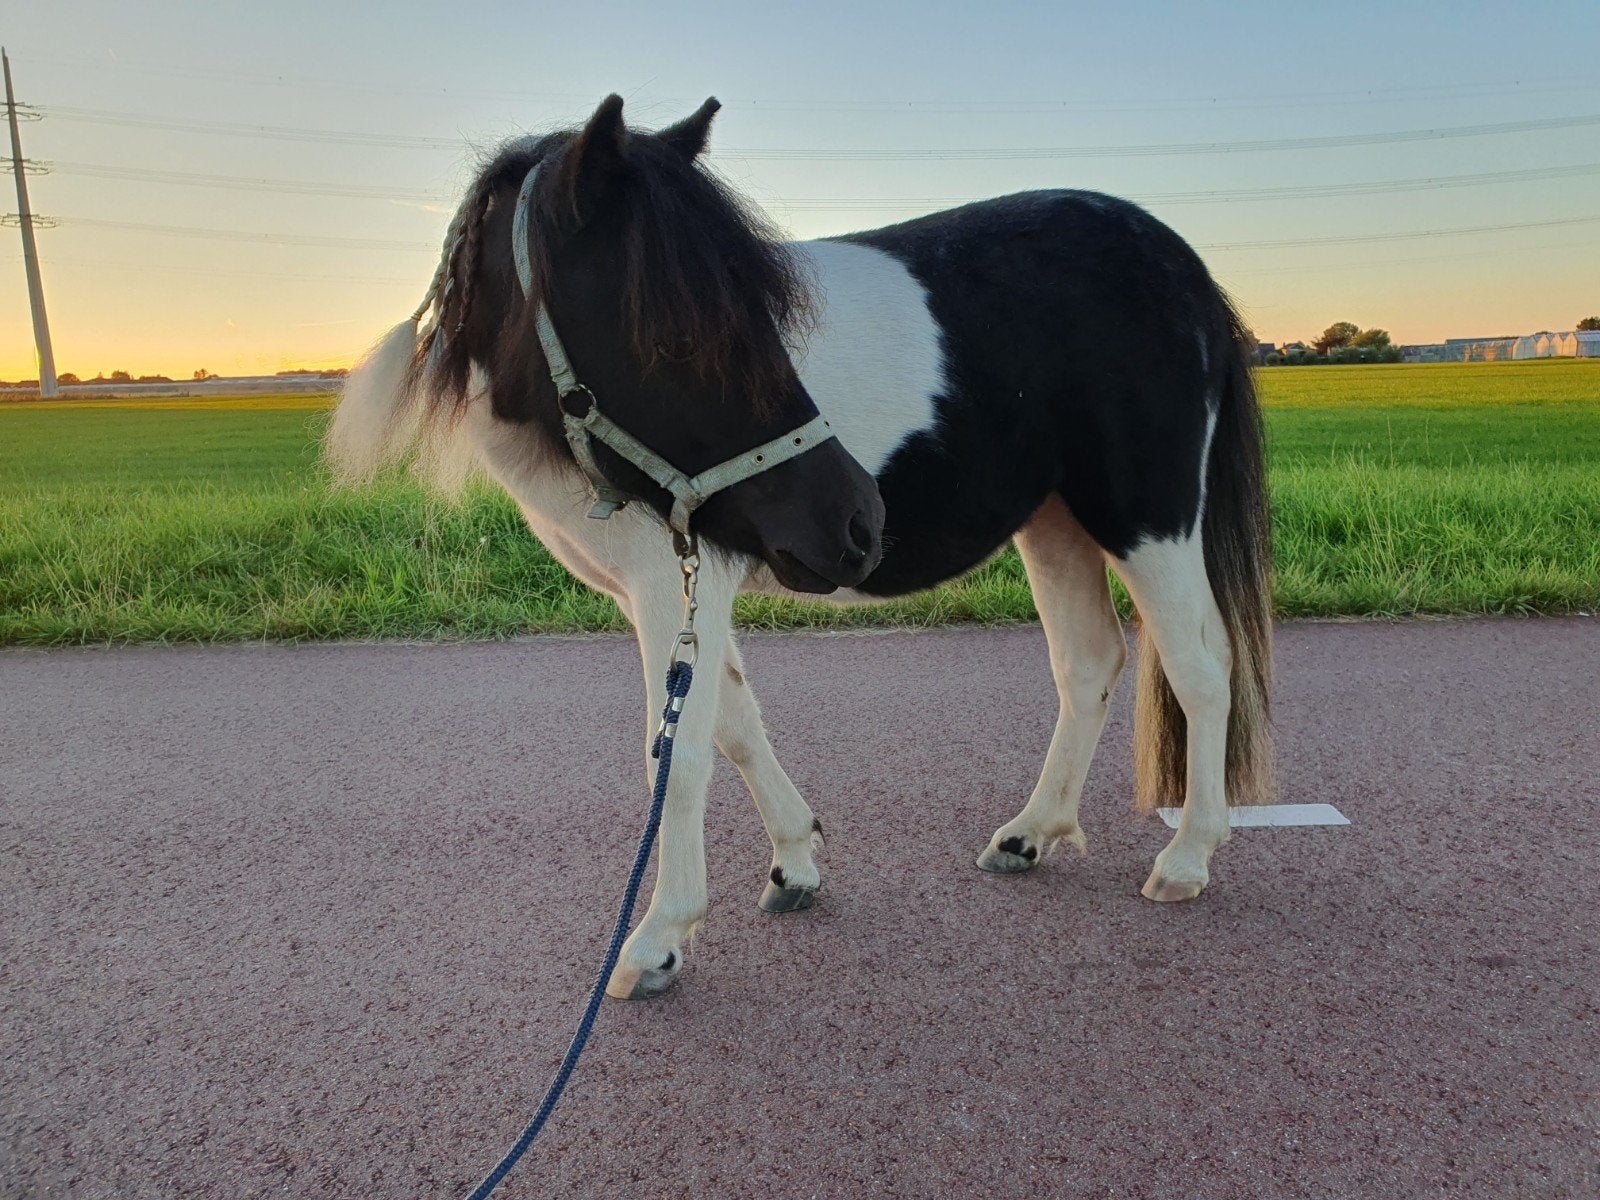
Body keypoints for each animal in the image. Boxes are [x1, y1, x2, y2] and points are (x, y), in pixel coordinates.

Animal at [326, 94, 1273, 1000]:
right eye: (676, 336)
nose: (860, 522)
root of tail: (1180, 264)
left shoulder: (678, 581)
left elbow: (679, 752)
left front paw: (661, 939)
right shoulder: (674, 583)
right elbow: (735, 722)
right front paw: (795, 863)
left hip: (1146, 517)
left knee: (1198, 667)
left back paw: (1188, 855)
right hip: (1054, 520)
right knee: (1090, 662)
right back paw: (1031, 834)